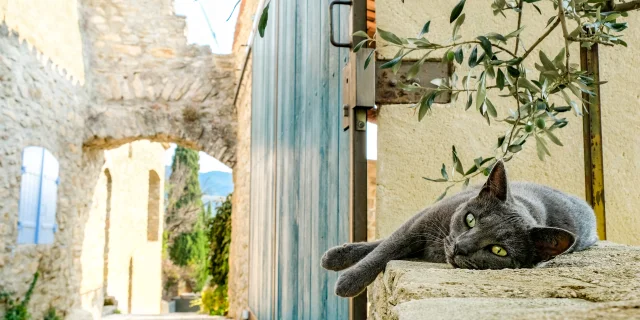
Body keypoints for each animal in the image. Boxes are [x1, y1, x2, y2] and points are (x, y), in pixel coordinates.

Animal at [322, 161, 596, 298]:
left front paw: (346, 279)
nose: (460, 247)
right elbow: (385, 249)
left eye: (498, 250)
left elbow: (387, 248)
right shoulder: (423, 220)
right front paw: (346, 275)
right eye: (470, 220)